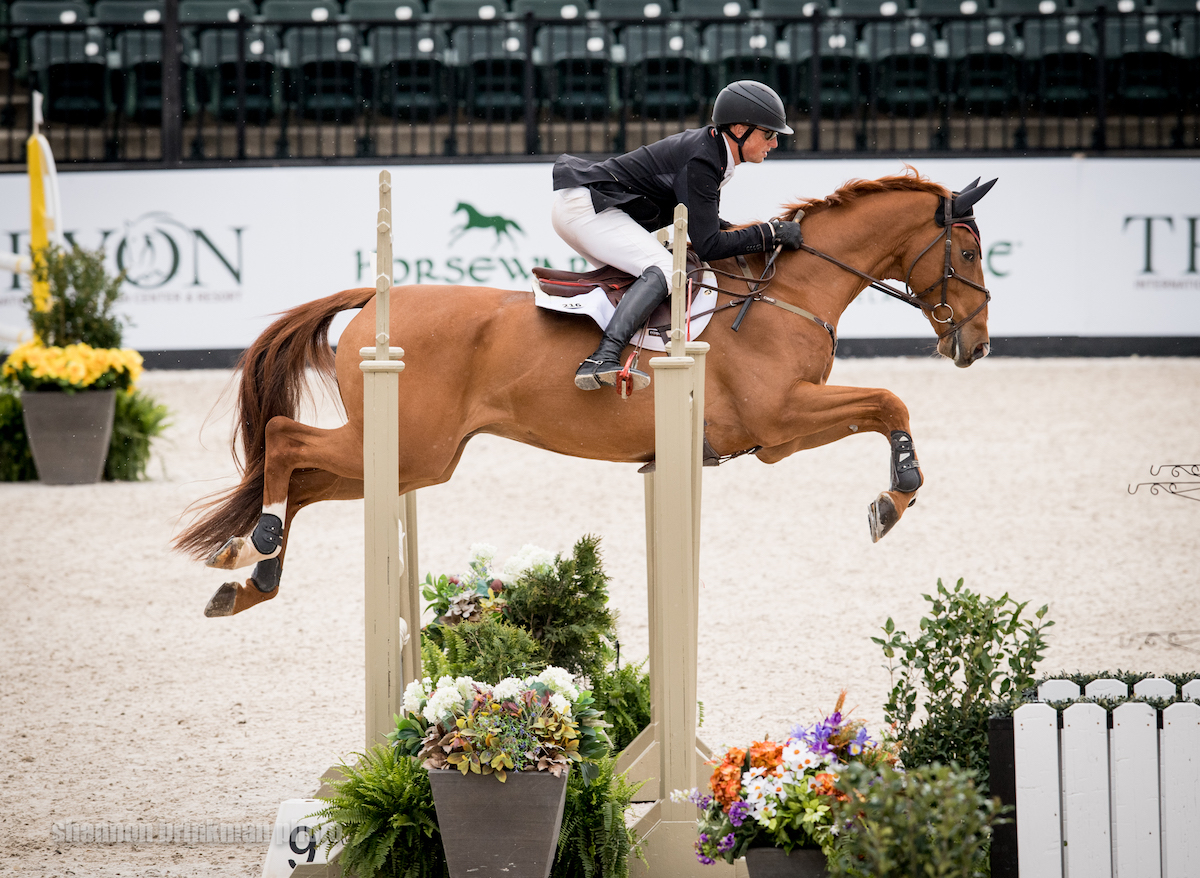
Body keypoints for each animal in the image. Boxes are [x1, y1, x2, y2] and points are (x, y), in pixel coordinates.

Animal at [177, 170, 998, 618]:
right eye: (965, 251)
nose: (978, 344)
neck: (783, 293)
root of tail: (374, 300)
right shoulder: (779, 416)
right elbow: (890, 402)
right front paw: (893, 499)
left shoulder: (780, 435)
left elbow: (883, 406)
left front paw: (893, 497)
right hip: (410, 447)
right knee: (284, 440)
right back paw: (257, 545)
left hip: (410, 461)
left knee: (301, 479)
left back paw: (247, 570)